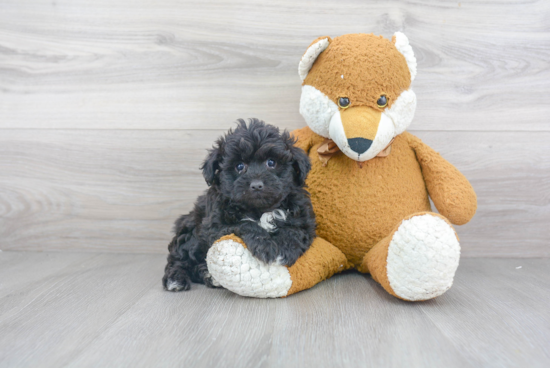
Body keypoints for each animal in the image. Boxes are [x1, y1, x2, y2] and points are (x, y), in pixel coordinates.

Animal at [163, 119, 314, 292]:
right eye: (240, 166)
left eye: (271, 162)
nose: (256, 185)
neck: (259, 210)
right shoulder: (215, 226)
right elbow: (245, 224)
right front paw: (265, 245)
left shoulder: (303, 218)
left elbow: (295, 230)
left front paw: (284, 249)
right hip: (190, 232)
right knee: (178, 259)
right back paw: (176, 279)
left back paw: (208, 276)